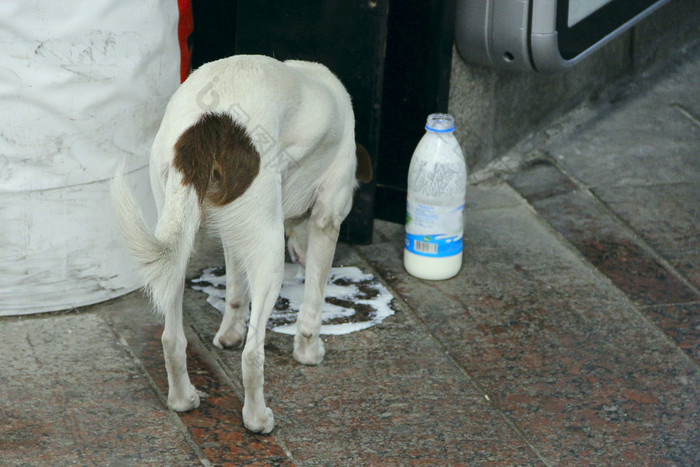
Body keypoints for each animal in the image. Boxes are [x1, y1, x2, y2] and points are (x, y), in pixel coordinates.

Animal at [112, 55, 372, 436]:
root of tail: (209, 123)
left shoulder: (234, 233)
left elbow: (235, 291)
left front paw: (230, 333)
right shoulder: (328, 217)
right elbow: (313, 301)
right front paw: (308, 350)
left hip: (177, 238)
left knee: (172, 338)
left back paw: (183, 398)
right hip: (269, 254)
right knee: (253, 355)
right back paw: (257, 418)